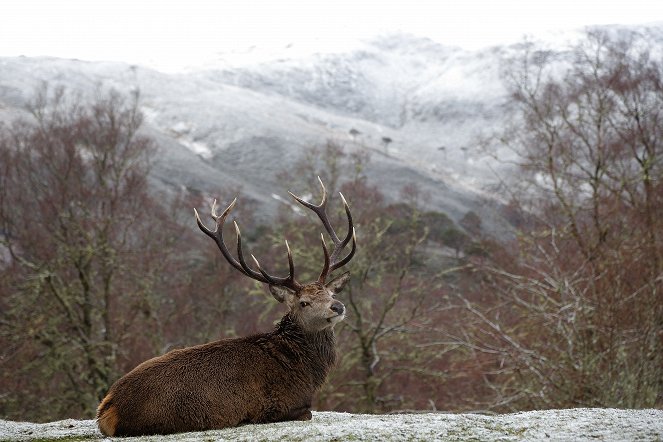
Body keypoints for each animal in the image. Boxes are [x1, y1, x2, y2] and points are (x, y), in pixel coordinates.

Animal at [94, 178, 358, 436]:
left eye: (331, 293)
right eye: (304, 303)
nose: (337, 307)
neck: (306, 371)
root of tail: (106, 409)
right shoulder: (278, 405)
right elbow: (308, 413)